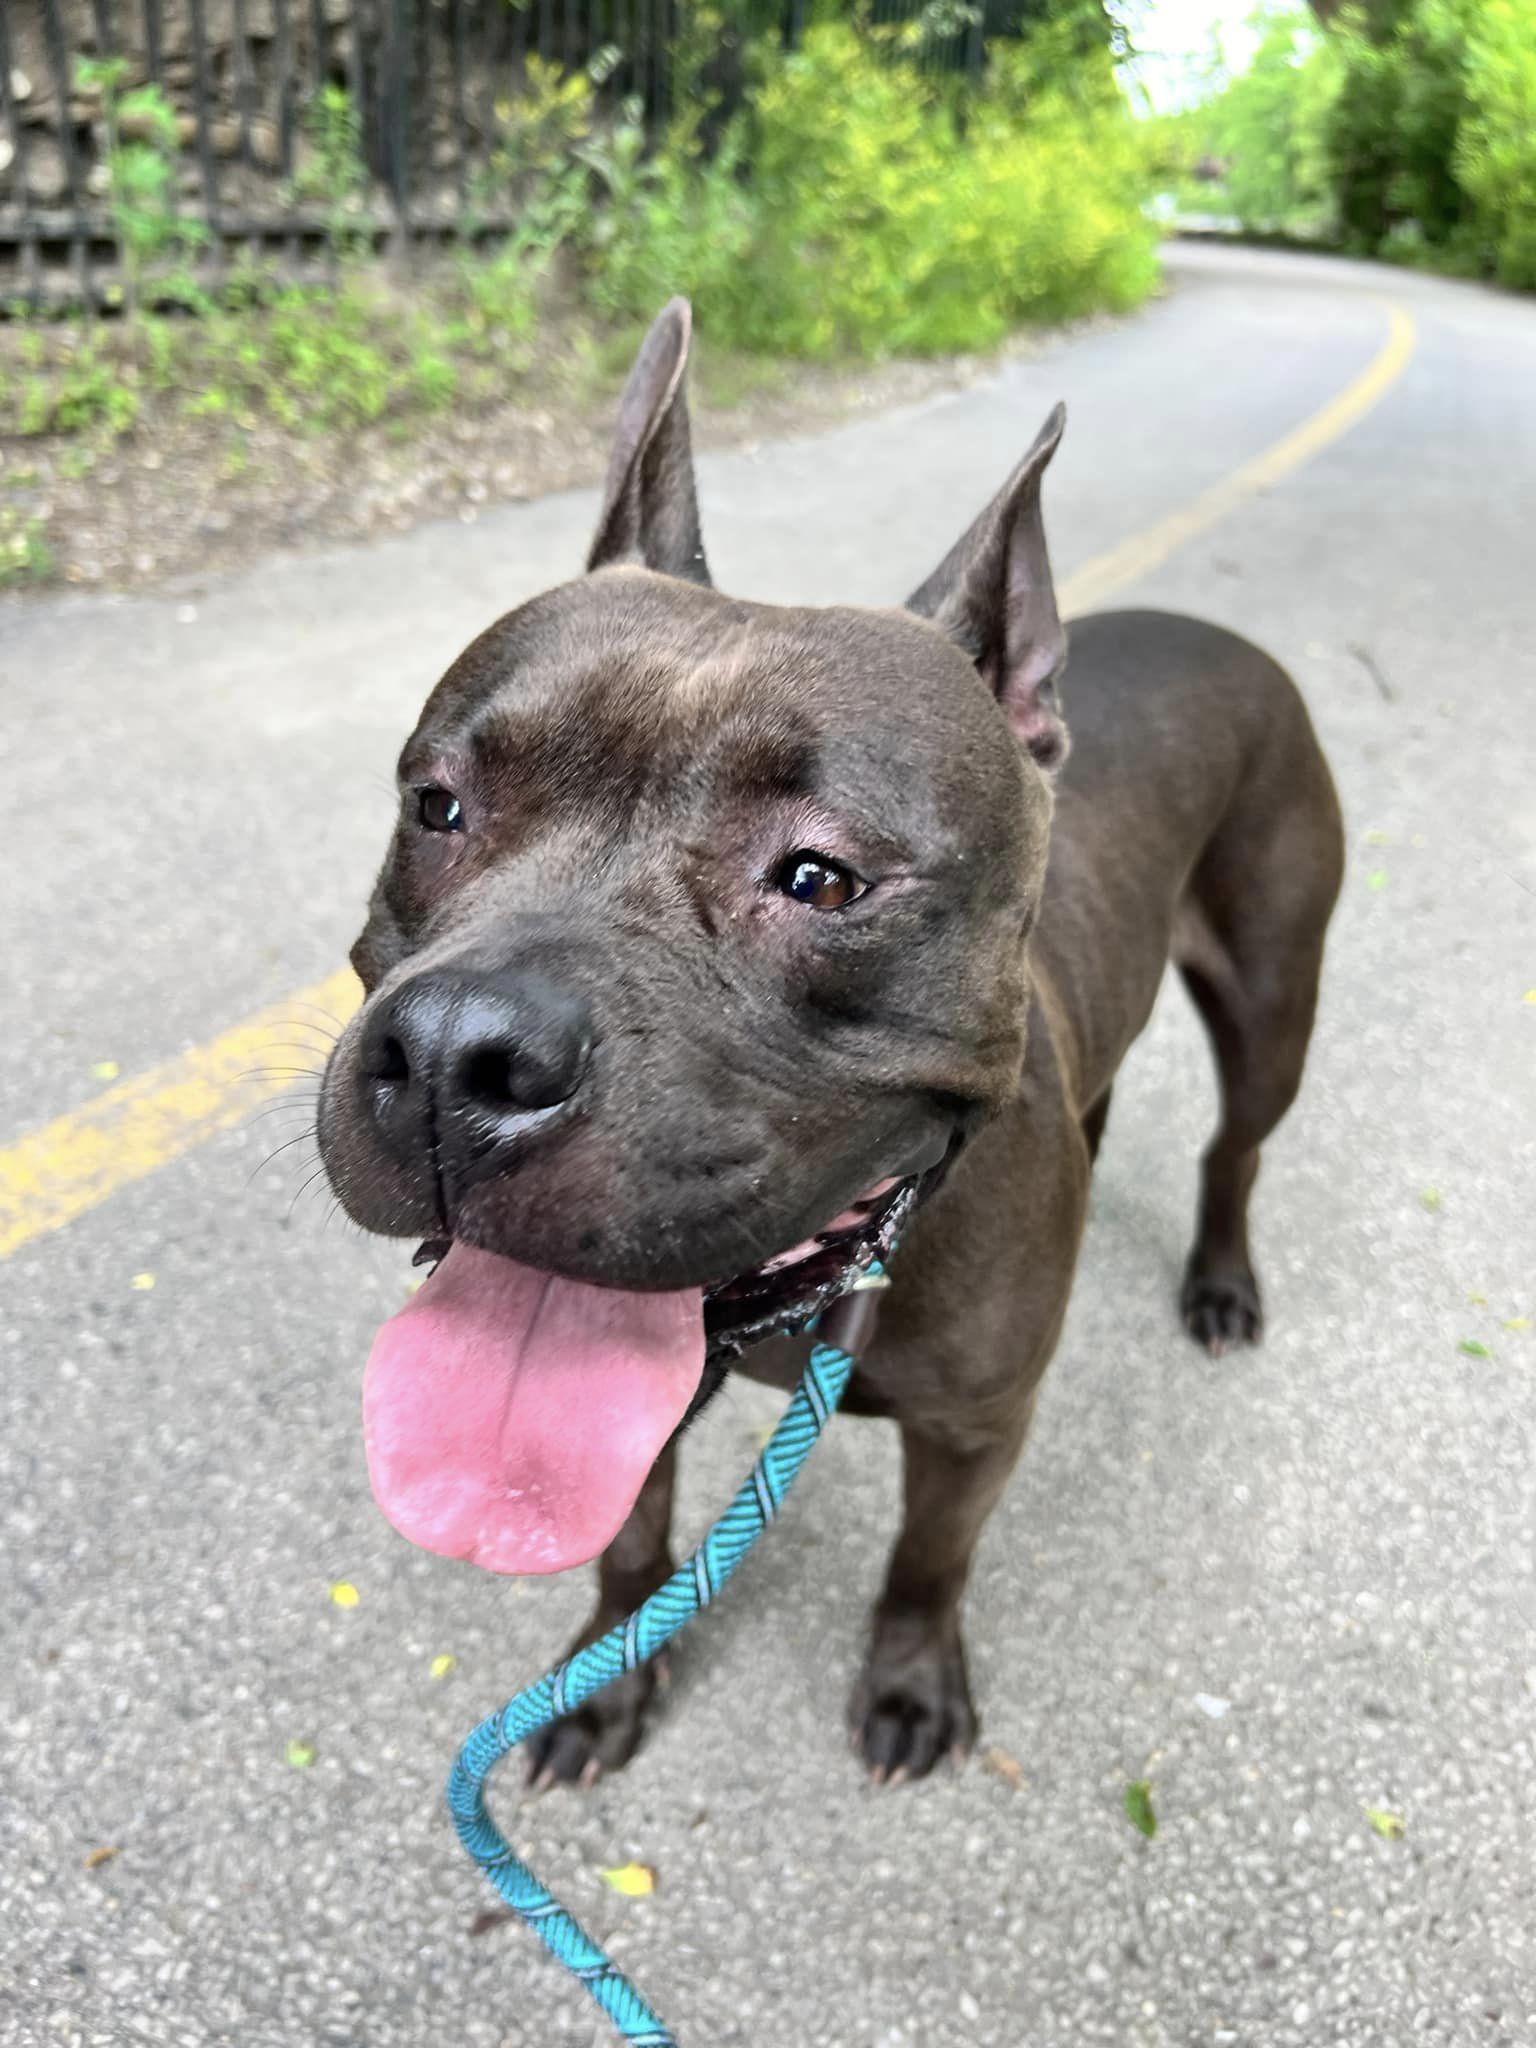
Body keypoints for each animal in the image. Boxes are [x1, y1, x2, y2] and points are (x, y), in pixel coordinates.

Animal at [315, 296, 1343, 1785]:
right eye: (439, 806)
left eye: (821, 878)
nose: (457, 1057)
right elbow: (627, 1545)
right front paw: (602, 1679)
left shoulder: (976, 1427)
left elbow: (928, 1562)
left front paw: (910, 1679)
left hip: (1274, 1007)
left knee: (1234, 1149)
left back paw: (1219, 1281)